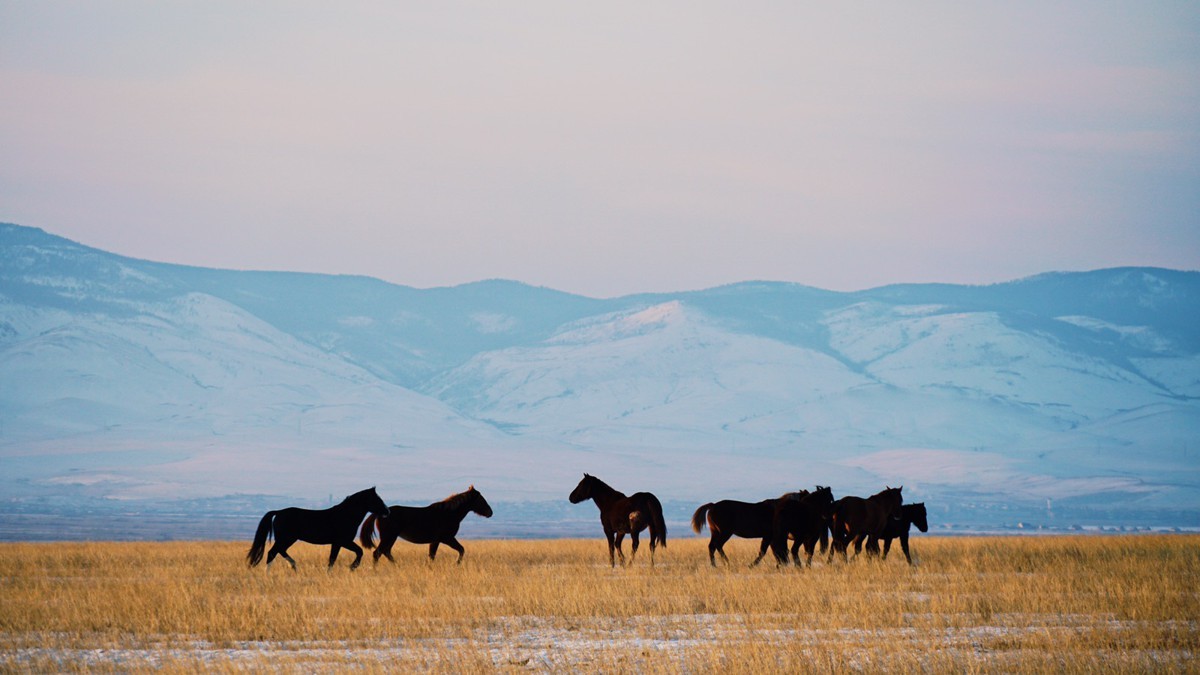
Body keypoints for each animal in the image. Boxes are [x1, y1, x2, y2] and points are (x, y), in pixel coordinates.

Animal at [244, 482, 388, 566]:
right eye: (377, 499)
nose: (388, 511)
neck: (345, 515)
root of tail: (278, 512)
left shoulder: (338, 543)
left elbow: (333, 559)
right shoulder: (342, 541)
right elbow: (355, 552)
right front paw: (352, 567)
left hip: (287, 539)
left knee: (279, 552)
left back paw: (294, 566)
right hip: (286, 538)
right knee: (272, 553)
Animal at [355, 482, 492, 562]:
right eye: (480, 499)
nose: (490, 512)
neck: (449, 513)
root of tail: (382, 513)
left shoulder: (436, 540)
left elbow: (432, 556)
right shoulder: (447, 538)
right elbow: (461, 550)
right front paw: (457, 563)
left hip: (390, 538)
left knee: (386, 552)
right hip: (388, 537)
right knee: (377, 553)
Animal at [691, 485, 830, 564]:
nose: (824, 516)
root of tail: (713, 505)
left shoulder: (771, 537)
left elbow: (773, 552)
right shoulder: (771, 536)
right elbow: (768, 552)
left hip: (715, 532)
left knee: (712, 547)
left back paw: (715, 565)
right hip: (725, 532)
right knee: (717, 546)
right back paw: (726, 563)